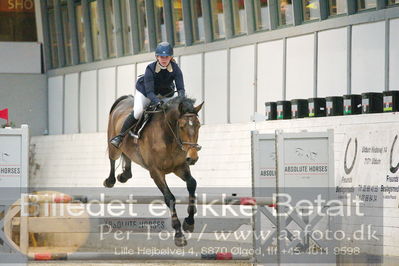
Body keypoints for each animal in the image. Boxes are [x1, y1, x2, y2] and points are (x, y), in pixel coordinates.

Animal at [104, 94, 205, 246]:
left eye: (198, 125)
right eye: (181, 126)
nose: (192, 158)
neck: (169, 137)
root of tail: (125, 99)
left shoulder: (180, 167)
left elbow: (192, 184)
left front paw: (189, 222)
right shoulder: (156, 172)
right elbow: (170, 198)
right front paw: (179, 234)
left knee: (127, 156)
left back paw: (124, 175)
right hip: (113, 144)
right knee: (113, 157)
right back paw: (110, 181)